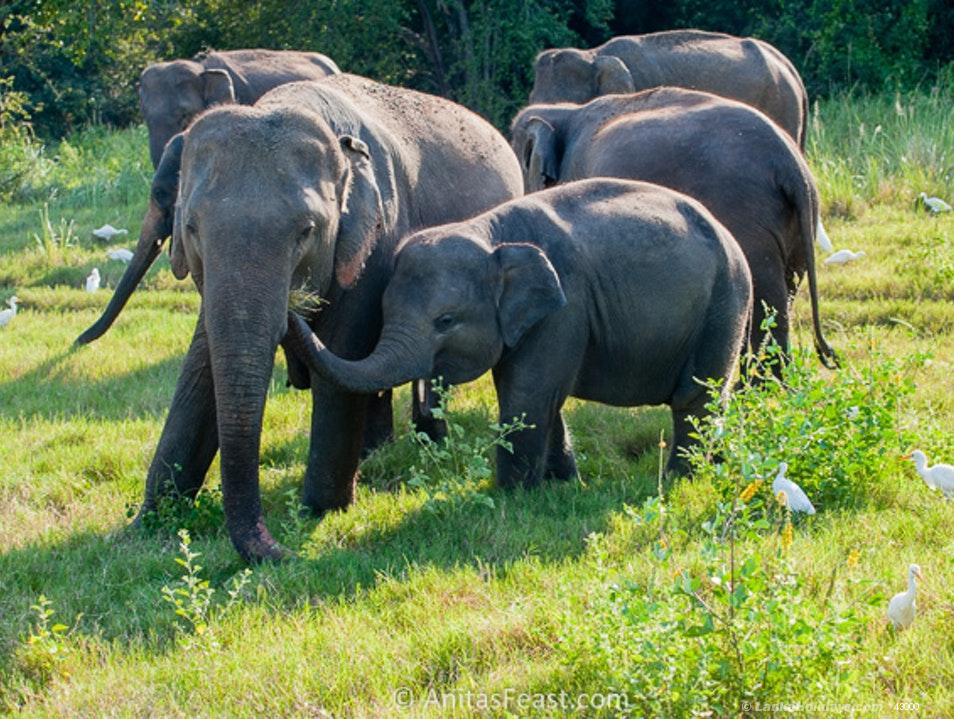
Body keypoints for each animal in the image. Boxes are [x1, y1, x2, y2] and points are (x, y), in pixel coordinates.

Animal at [134, 76, 520, 564]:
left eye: (307, 231)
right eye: (191, 228)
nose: (283, 552)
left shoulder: (375, 242)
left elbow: (342, 351)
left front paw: (321, 511)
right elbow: (201, 365)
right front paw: (145, 522)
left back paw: (427, 442)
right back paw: (376, 452)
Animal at [282, 179, 752, 484]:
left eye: (445, 322)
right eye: (383, 311)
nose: (292, 304)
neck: (489, 232)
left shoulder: (565, 309)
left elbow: (528, 394)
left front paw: (513, 496)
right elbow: (539, 396)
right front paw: (561, 485)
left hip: (724, 302)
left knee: (695, 395)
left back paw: (681, 479)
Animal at [512, 88, 832, 372]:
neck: (567, 112)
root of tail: (789, 163)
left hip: (746, 216)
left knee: (763, 294)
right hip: (797, 224)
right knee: (785, 290)